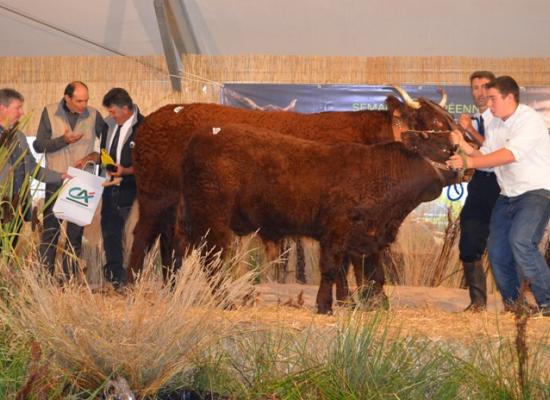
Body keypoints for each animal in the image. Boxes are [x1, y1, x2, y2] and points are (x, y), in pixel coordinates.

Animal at [129, 88, 458, 282]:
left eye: (448, 118)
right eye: (433, 123)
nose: (456, 147)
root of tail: (154, 118)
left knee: (171, 240)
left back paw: (170, 284)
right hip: (155, 195)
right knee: (144, 234)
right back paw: (131, 283)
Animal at [180, 124, 462, 312]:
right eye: (433, 140)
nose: (456, 147)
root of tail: (201, 138)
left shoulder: (367, 238)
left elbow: (370, 273)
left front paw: (369, 305)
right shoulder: (336, 232)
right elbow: (331, 269)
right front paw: (325, 306)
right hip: (213, 221)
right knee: (212, 261)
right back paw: (226, 303)